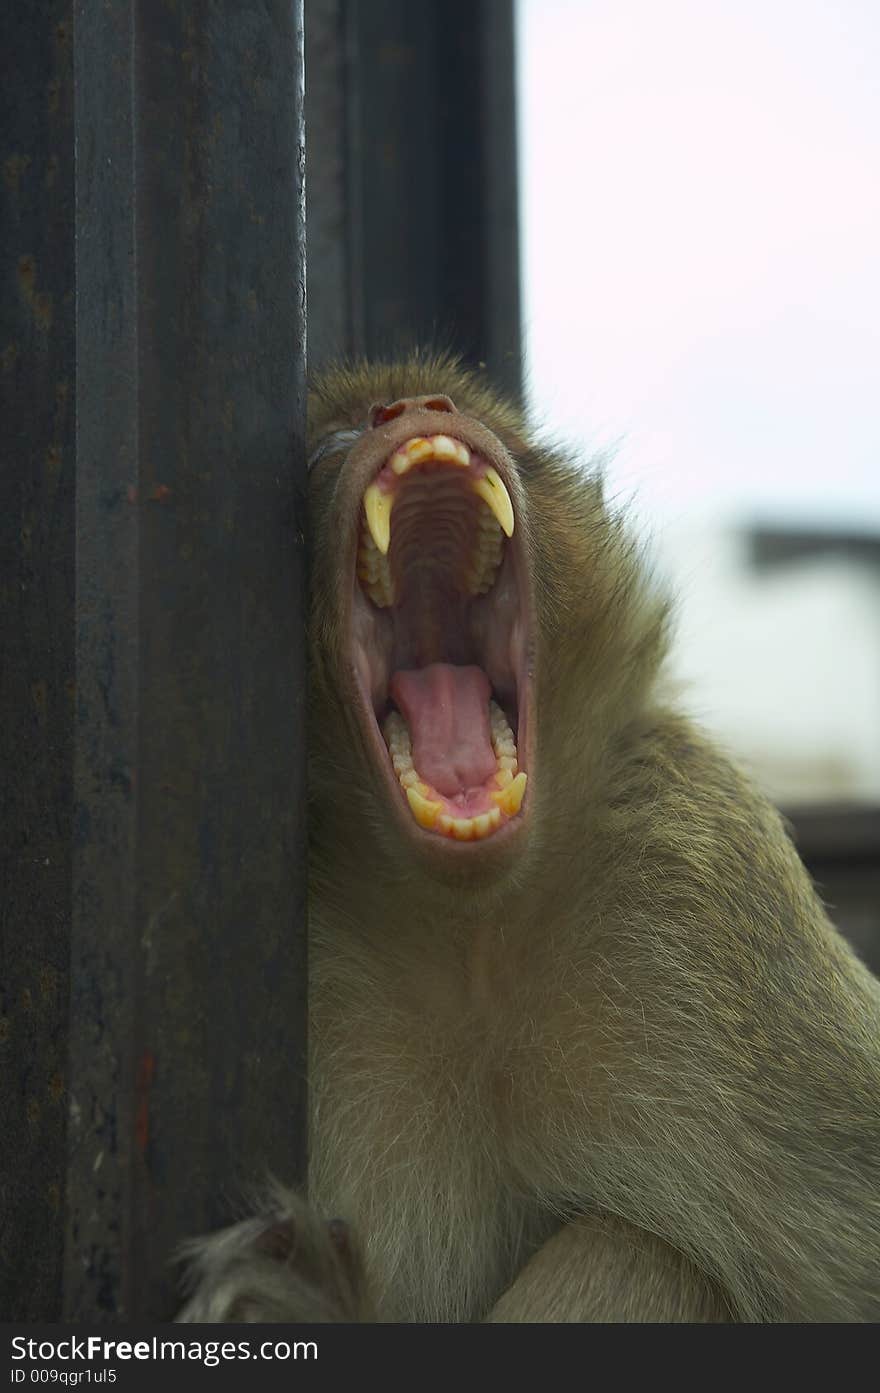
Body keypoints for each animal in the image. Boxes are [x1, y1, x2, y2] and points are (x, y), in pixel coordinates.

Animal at [175, 353, 874, 1320]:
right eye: (335, 442)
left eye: (461, 411)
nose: (413, 408)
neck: (474, 934)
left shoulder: (715, 882)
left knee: (628, 1250)